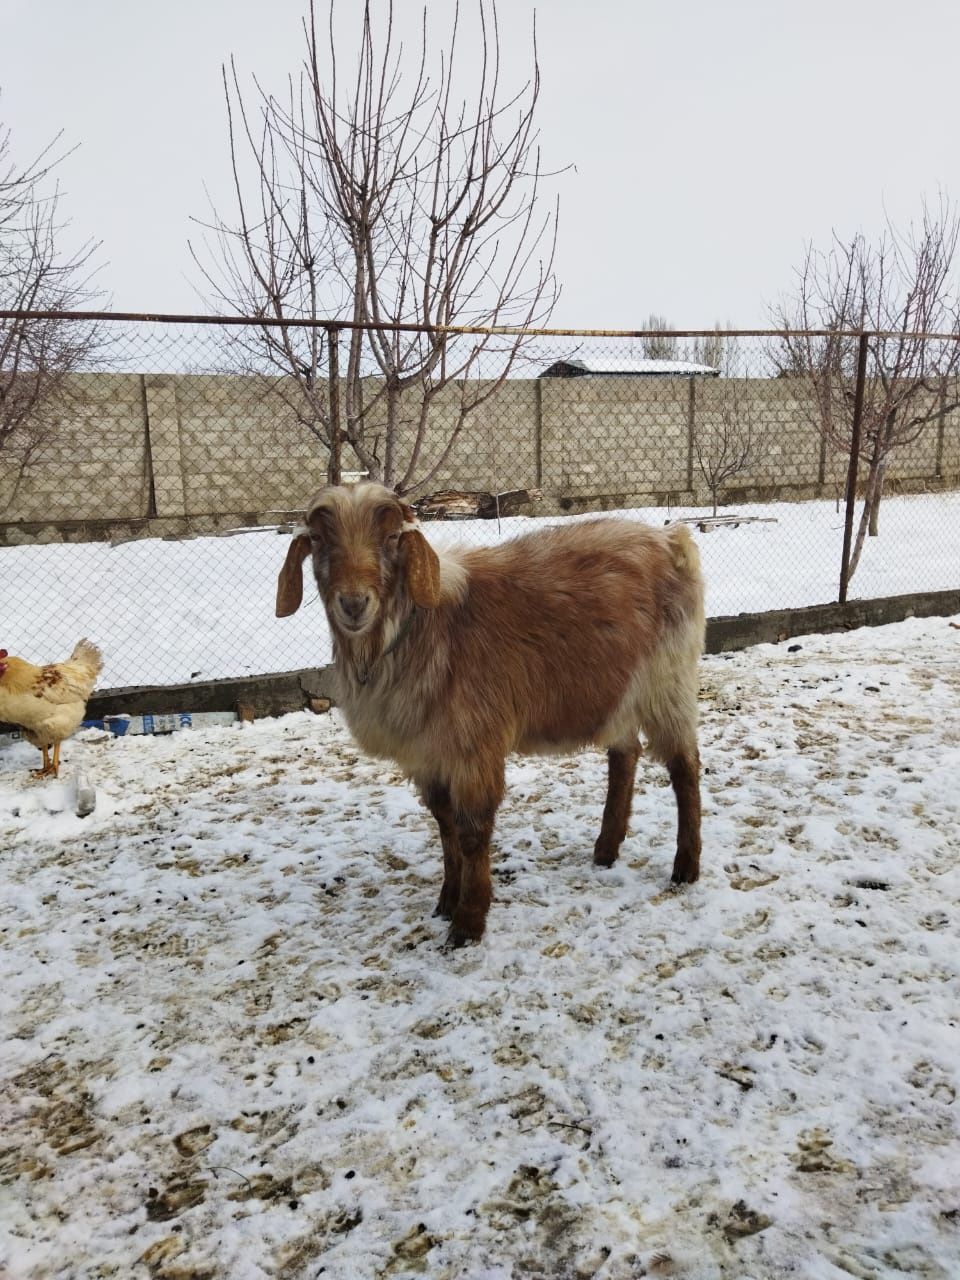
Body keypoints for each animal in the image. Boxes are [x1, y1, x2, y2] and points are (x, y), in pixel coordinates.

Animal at [277, 483, 706, 947]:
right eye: (319, 540)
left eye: (391, 539)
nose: (354, 604)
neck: (425, 629)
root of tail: (670, 540)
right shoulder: (429, 757)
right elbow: (444, 824)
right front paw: (447, 901)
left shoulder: (473, 746)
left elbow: (471, 831)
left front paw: (468, 921)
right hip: (617, 688)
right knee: (625, 754)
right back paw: (606, 850)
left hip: (667, 679)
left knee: (684, 767)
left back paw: (685, 867)